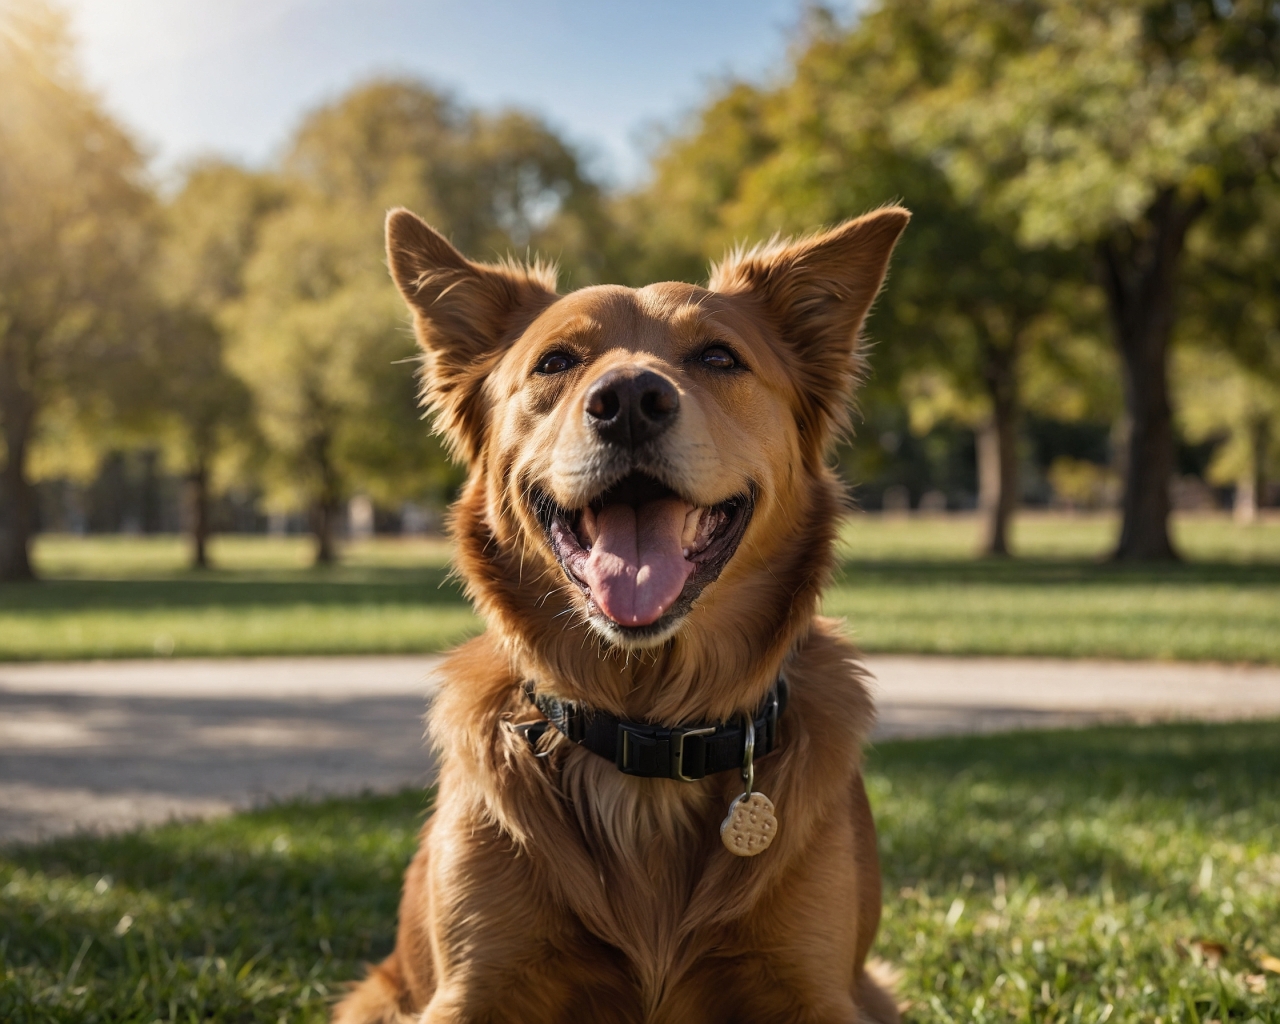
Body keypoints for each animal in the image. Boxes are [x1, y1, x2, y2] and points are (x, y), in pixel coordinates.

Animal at [332, 202, 911, 1024]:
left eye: (719, 358)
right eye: (554, 363)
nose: (631, 400)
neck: (648, 730)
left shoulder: (820, 991)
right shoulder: (469, 991)